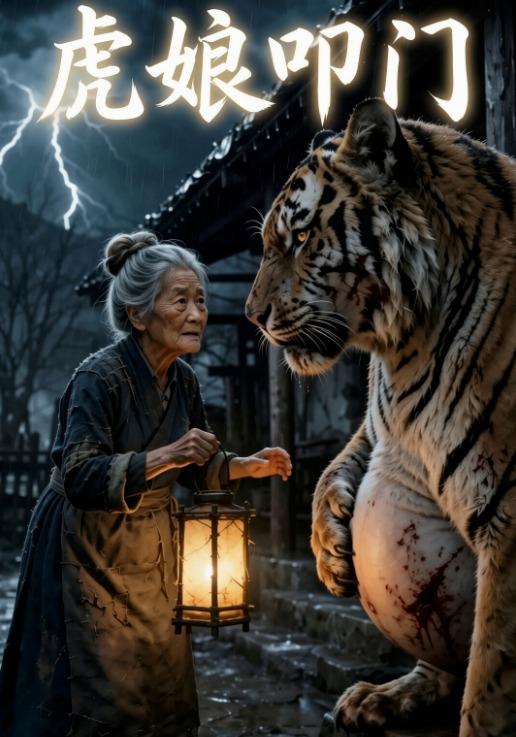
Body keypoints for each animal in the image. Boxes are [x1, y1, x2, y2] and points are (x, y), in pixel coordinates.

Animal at [245, 98, 516, 737]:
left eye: (299, 239)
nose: (251, 316)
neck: (405, 345)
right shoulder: (377, 423)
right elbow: (329, 468)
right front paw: (329, 551)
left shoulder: (510, 521)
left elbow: (491, 675)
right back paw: (379, 698)